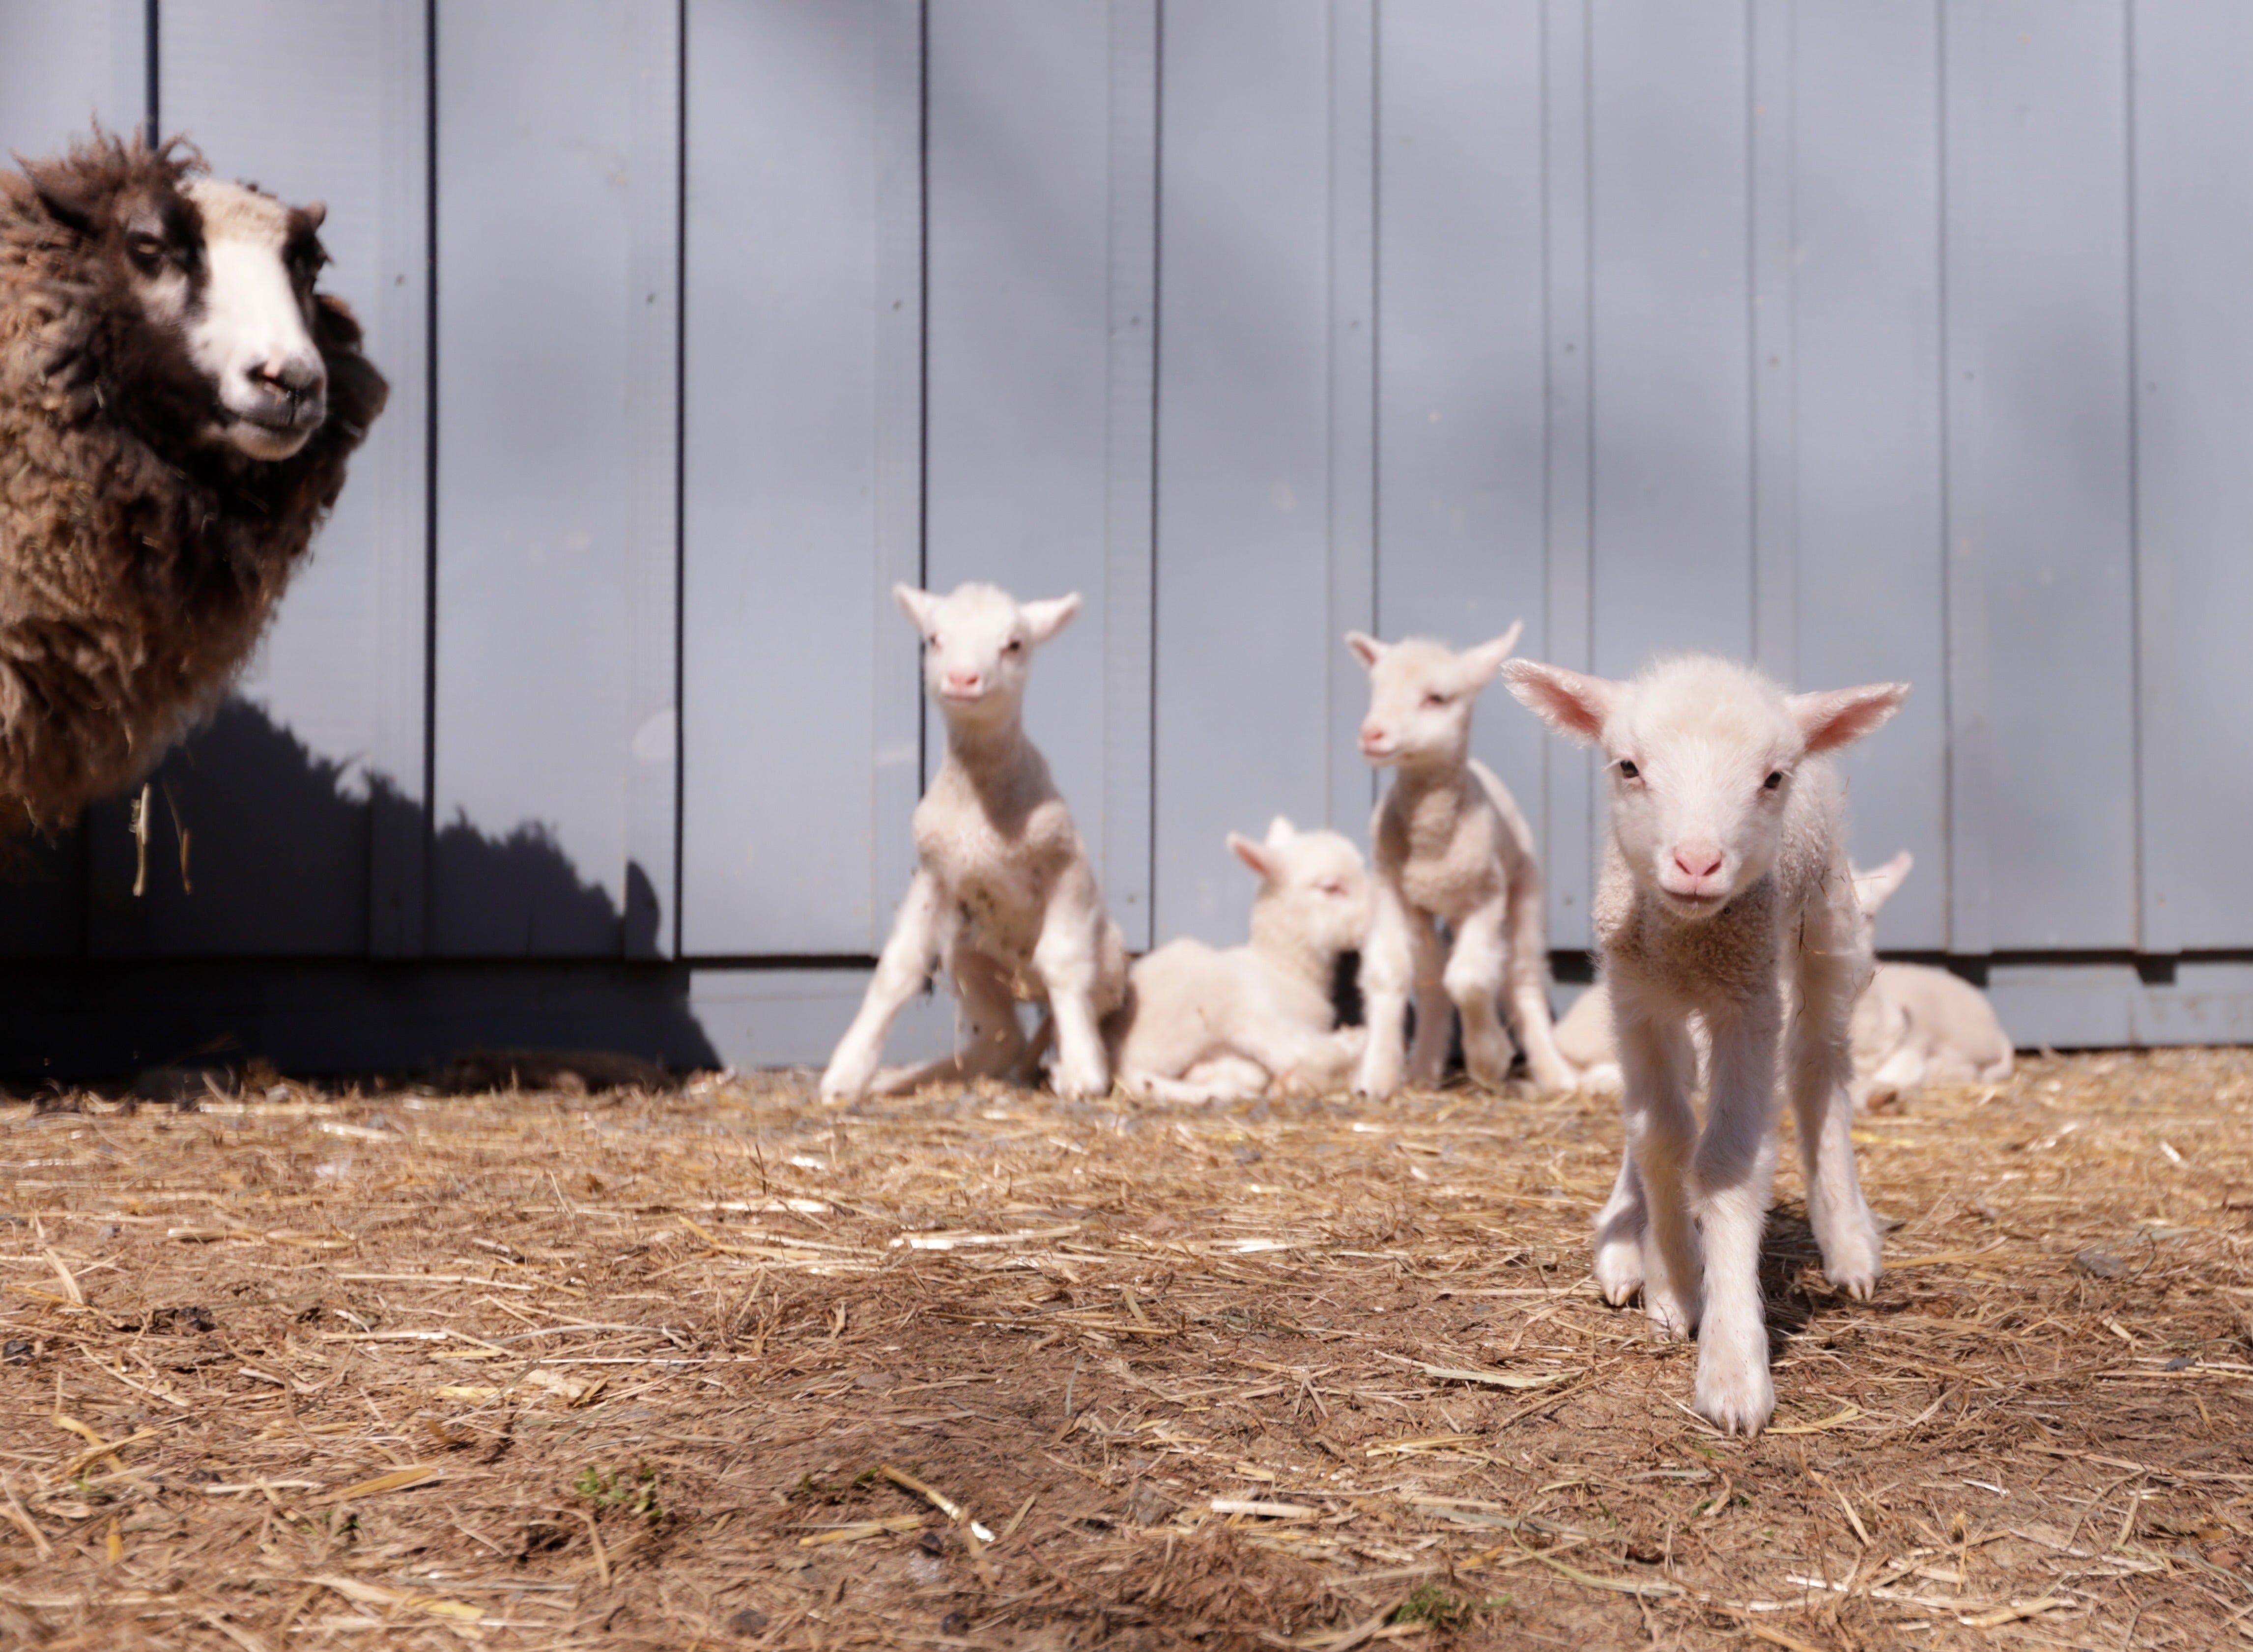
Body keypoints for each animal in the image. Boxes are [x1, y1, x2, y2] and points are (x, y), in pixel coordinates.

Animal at [820, 582, 1128, 1103]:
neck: (979, 811)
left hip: (1108, 970)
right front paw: (846, 1074)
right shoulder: (934, 872)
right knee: (1001, 1042)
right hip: (969, 960)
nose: (963, 679)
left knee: (1061, 1009)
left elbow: (1063, 962)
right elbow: (898, 968)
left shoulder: (1064, 863)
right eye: (933, 639)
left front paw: (1085, 1075)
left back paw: (1069, 1060)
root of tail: (1027, 987)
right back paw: (905, 1079)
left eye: (1015, 644)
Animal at [1344, 624, 1576, 1098]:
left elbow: (1468, 978)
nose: (1372, 735)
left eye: (1437, 698)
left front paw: (1490, 1058)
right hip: (1429, 909)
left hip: (1523, 887)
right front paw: (1375, 1075)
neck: (1432, 843)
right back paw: (1424, 1068)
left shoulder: (1487, 896)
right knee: (1432, 982)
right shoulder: (1391, 891)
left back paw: (1554, 1072)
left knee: (1521, 974)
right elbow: (1391, 974)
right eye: (1376, 689)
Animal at [1505, 652, 1907, 1434]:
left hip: (1826, 926)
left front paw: (1731, 1367)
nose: (1696, 863)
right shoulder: (1636, 997)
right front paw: (1672, 1285)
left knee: (1818, 1066)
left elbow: (1725, 1161)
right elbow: (1661, 1135)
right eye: (1628, 766)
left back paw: (1847, 1242)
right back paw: (1625, 1240)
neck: (1691, 940)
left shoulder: (1745, 1005)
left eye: (1772, 777)